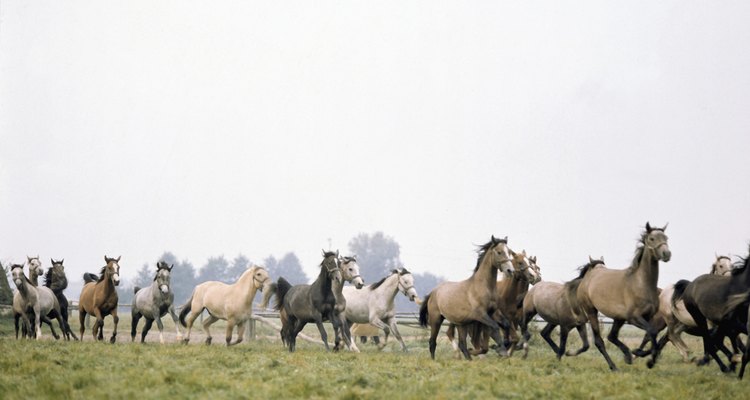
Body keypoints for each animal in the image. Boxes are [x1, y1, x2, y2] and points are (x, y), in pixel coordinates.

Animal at [580, 223, 672, 370]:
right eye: (651, 238)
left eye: (666, 238)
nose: (667, 254)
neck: (641, 284)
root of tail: (589, 274)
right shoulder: (634, 318)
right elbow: (652, 332)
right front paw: (644, 356)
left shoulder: (650, 317)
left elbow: (652, 335)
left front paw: (643, 356)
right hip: (592, 311)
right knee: (600, 341)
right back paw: (614, 366)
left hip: (619, 318)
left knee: (612, 336)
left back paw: (627, 356)